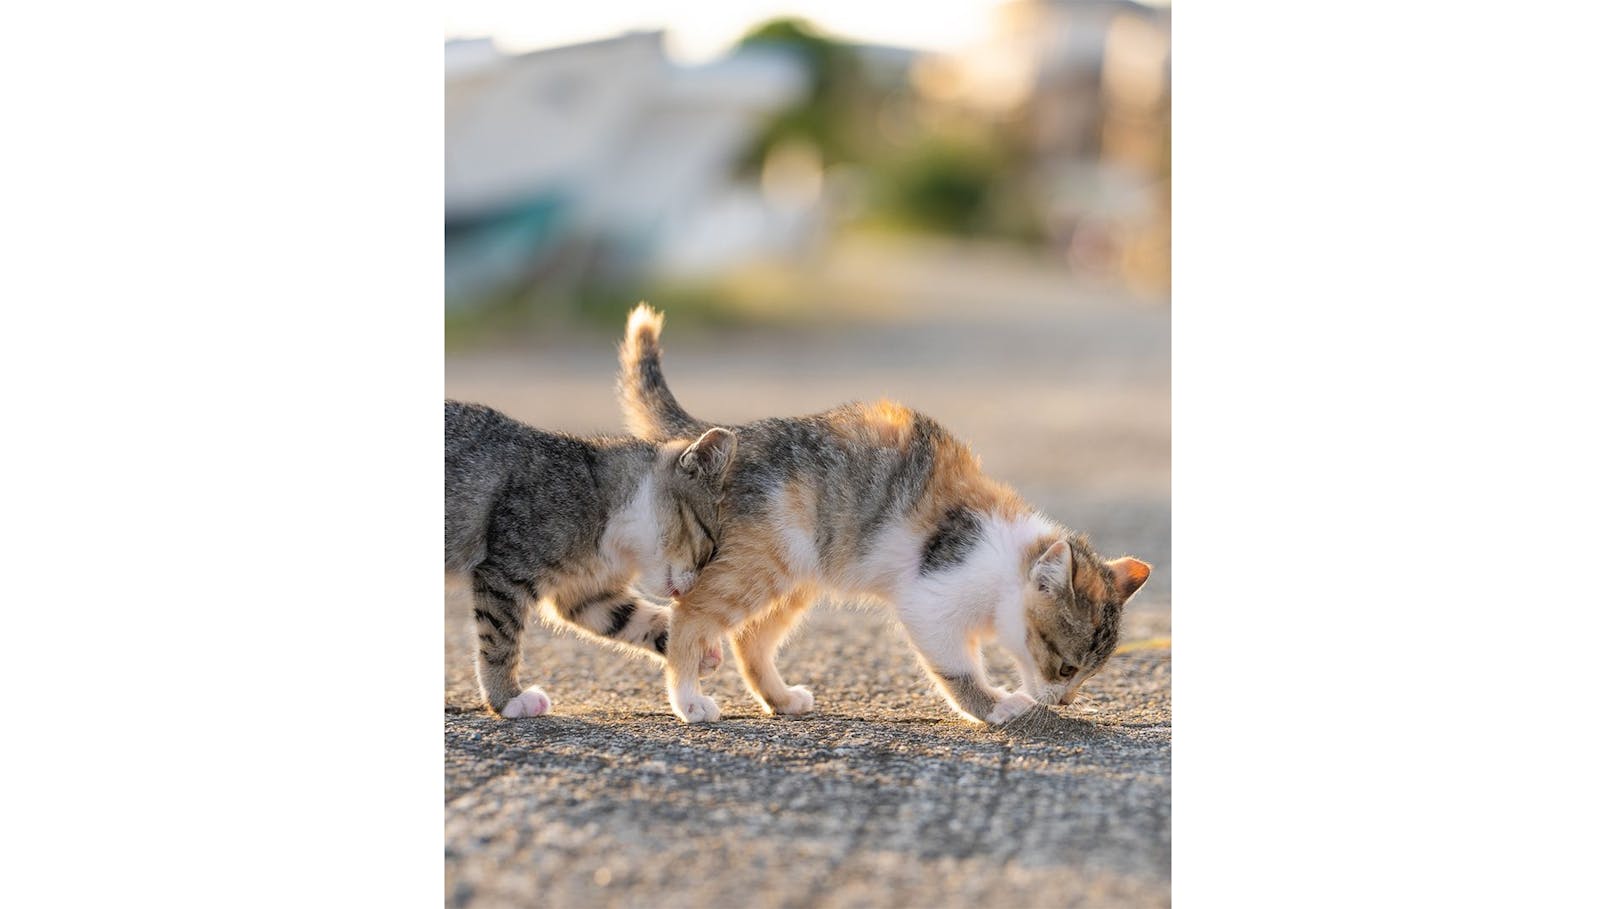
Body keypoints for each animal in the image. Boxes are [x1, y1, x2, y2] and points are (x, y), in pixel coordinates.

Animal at [449, 399, 740, 718]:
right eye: (710, 547)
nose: (692, 588)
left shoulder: (584, 593)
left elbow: (632, 618)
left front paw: (700, 648)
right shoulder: (506, 571)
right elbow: (500, 640)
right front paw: (507, 697)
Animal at [614, 304, 1150, 721]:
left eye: (1090, 674)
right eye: (1066, 667)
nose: (1064, 702)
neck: (1008, 562)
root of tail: (729, 436)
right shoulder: (931, 599)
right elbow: (956, 666)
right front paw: (995, 706)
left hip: (794, 572)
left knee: (751, 639)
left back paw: (781, 698)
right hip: (759, 564)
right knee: (689, 616)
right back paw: (688, 701)